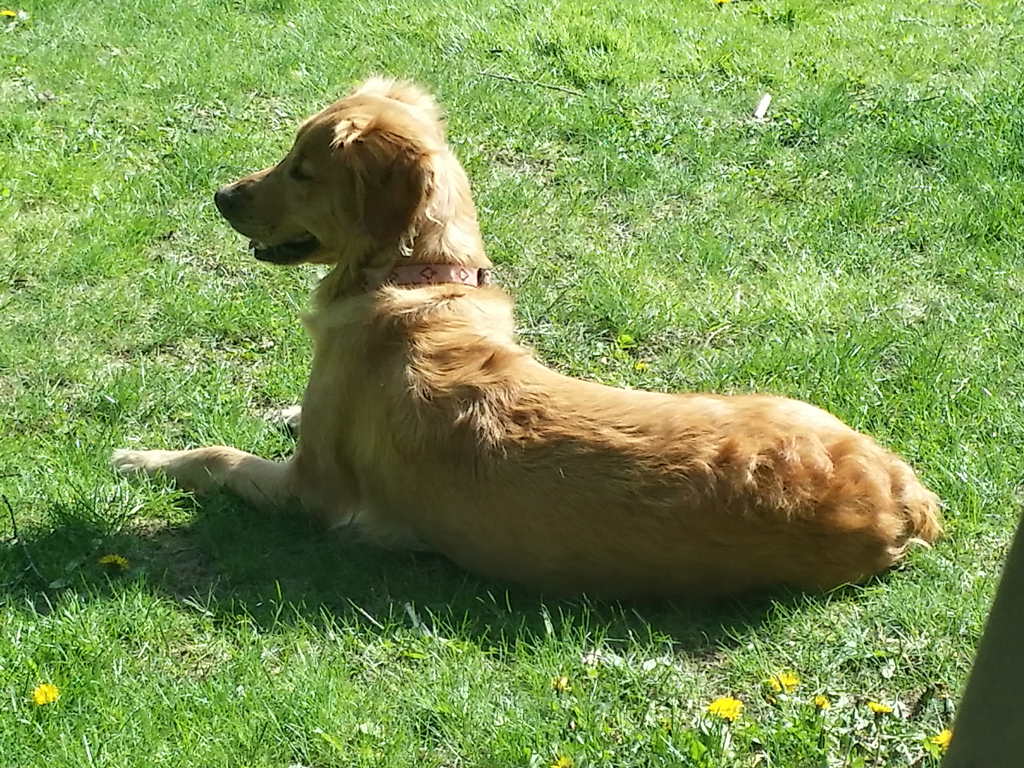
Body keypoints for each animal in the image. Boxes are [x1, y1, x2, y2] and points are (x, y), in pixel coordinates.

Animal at [114, 81, 942, 606]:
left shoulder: (313, 491)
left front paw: (143, 459)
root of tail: (901, 494)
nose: (221, 196)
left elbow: (218, 458)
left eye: (303, 169)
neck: (421, 278)